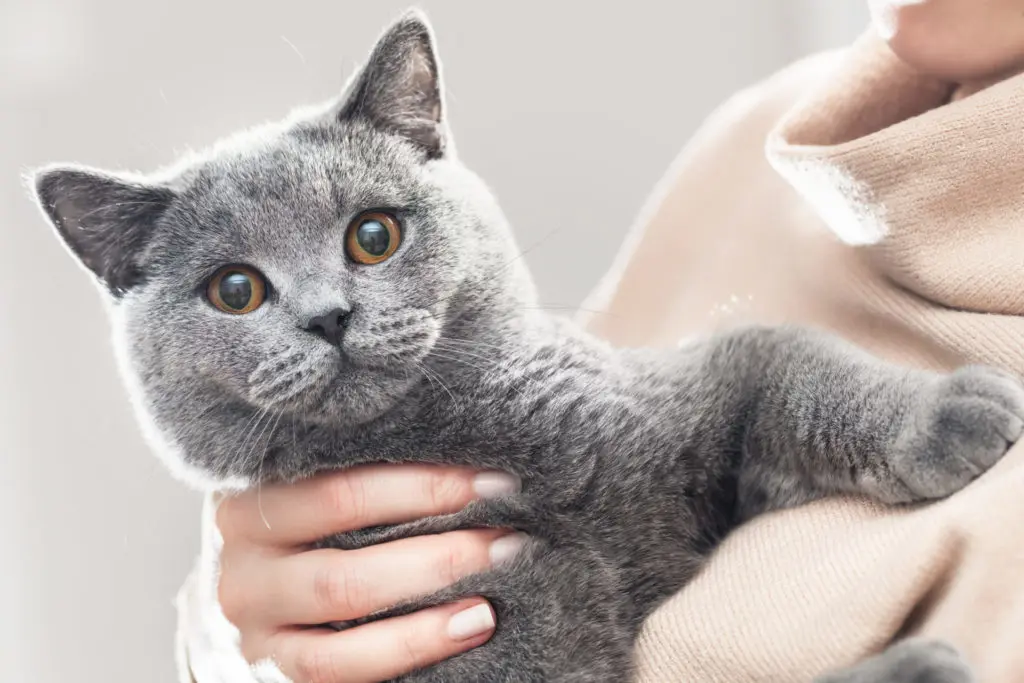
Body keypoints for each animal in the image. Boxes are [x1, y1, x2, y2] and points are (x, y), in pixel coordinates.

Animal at [32, 10, 1015, 683]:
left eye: (373, 236)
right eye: (234, 290)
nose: (327, 316)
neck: (480, 440)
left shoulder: (686, 398)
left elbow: (791, 359)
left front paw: (952, 412)